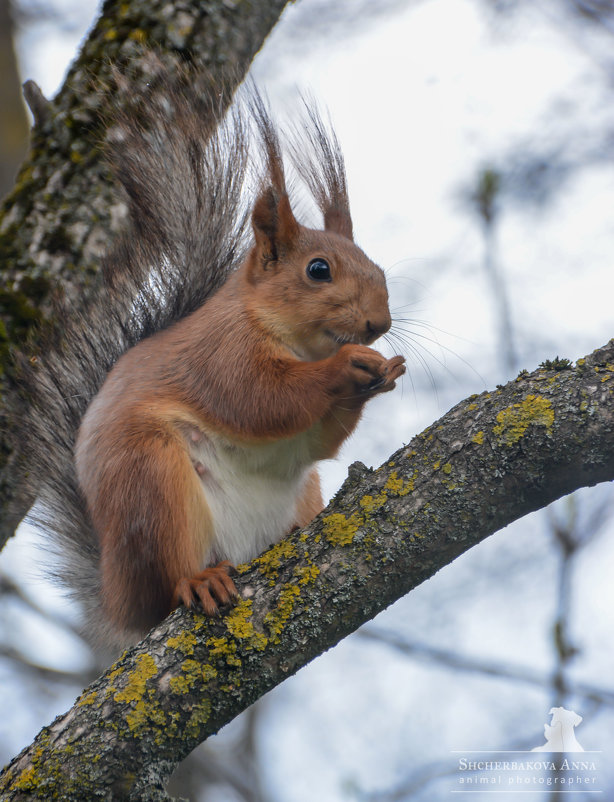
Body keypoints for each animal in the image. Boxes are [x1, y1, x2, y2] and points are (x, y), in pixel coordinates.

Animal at [15, 65, 404, 652]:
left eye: (378, 269)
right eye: (318, 270)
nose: (379, 324)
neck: (291, 340)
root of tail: (120, 598)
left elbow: (318, 441)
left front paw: (383, 373)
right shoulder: (221, 356)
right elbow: (262, 401)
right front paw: (346, 369)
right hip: (152, 482)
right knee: (170, 576)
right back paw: (197, 580)